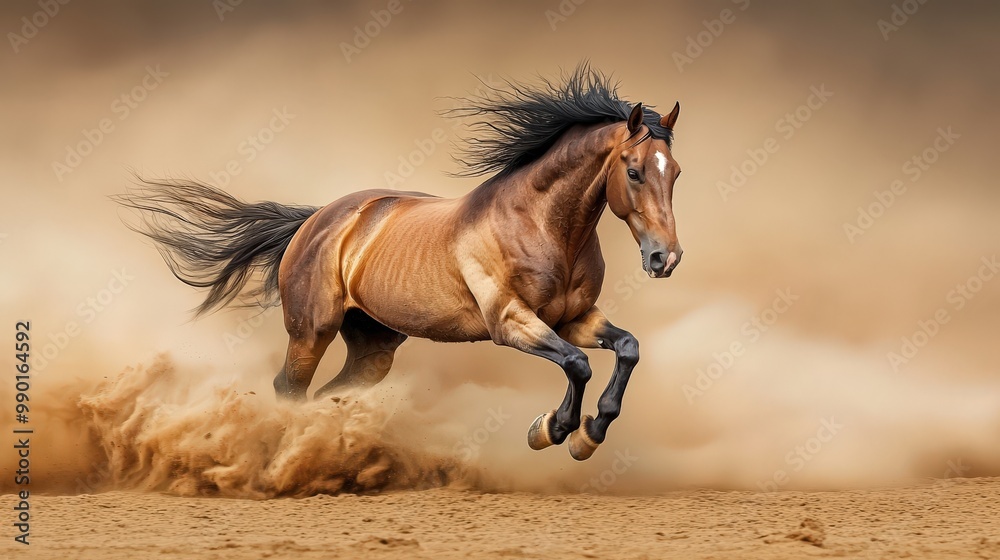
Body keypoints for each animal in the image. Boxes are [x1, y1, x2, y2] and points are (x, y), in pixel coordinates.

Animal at [116, 67, 683, 461]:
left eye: (675, 171)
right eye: (634, 171)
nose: (666, 258)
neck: (541, 225)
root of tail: (315, 220)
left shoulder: (574, 318)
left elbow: (626, 349)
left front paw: (589, 433)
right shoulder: (511, 322)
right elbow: (578, 363)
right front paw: (552, 430)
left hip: (374, 347)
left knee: (329, 393)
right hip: (311, 332)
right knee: (290, 389)